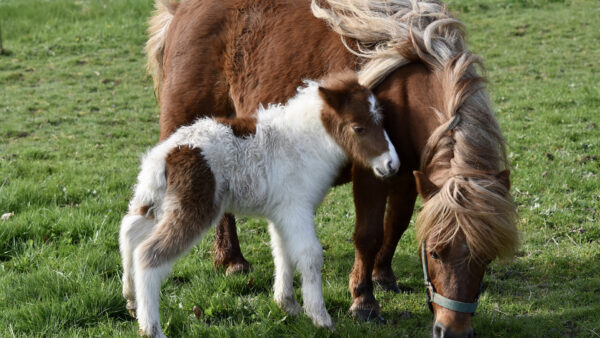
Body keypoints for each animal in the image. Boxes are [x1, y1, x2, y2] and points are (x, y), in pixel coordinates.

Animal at [117, 72, 398, 336]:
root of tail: (164, 155)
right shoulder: (297, 209)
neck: (303, 143)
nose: (392, 164)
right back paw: (151, 329)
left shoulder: (282, 214)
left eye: (382, 122)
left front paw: (288, 306)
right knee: (148, 255)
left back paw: (131, 301)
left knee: (129, 231)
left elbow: (283, 253)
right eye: (358, 128)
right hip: (195, 209)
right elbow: (310, 255)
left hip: (155, 201)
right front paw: (321, 318)